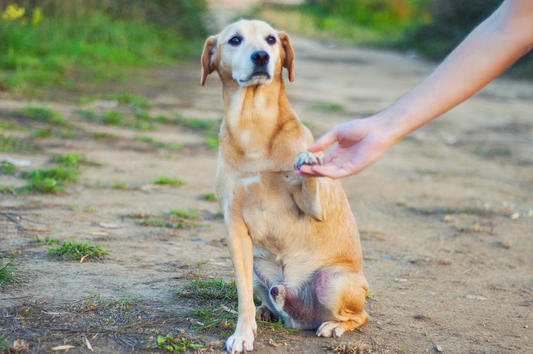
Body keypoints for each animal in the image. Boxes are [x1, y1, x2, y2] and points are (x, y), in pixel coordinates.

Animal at [202, 20, 368, 352]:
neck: (253, 126)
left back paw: (333, 325)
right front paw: (243, 333)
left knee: (361, 316)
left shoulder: (314, 207)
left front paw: (310, 159)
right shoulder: (234, 226)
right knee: (266, 299)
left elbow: (309, 175)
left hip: (331, 281)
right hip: (258, 270)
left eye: (271, 39)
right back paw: (266, 311)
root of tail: (301, 318)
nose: (261, 56)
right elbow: (242, 296)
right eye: (235, 40)